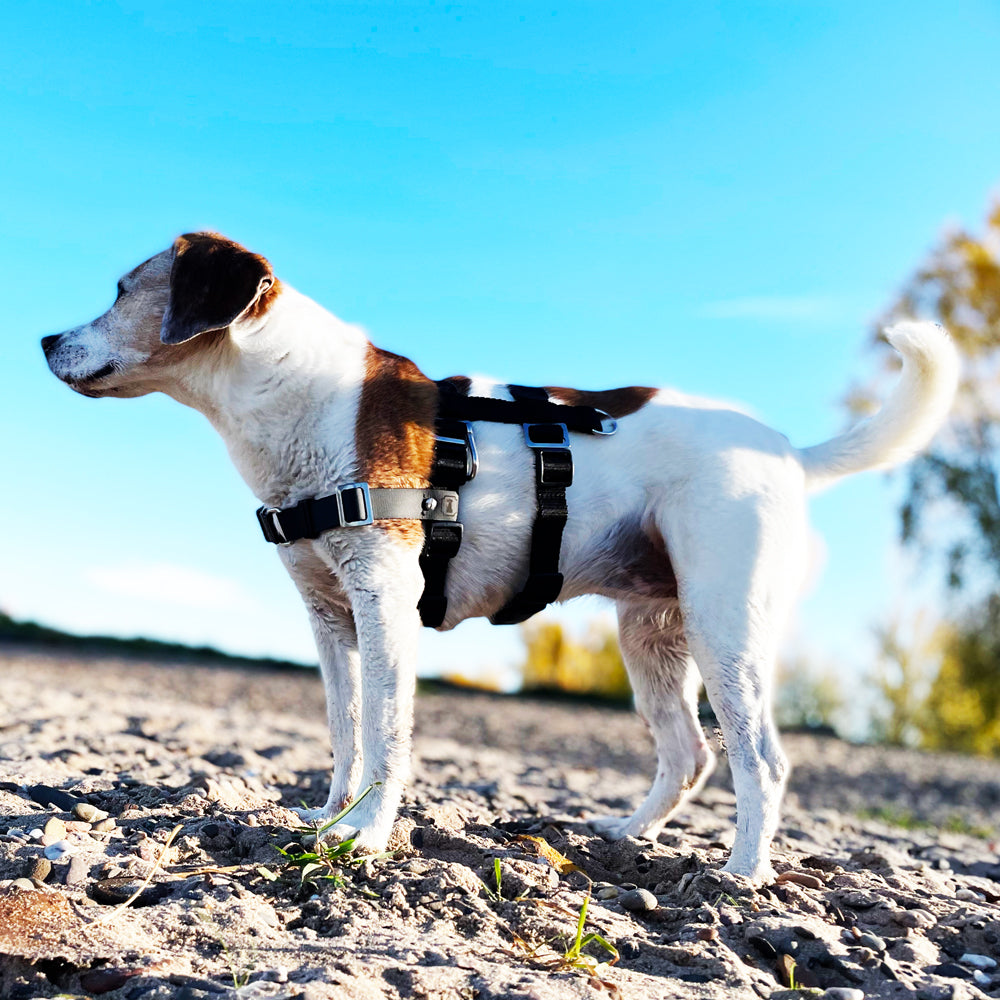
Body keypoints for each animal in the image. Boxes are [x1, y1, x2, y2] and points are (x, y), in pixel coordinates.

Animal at [43, 230, 956, 880]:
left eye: (121, 290)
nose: (47, 338)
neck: (293, 392)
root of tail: (790, 453)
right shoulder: (329, 619)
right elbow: (342, 732)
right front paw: (329, 816)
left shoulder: (384, 604)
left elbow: (384, 733)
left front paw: (365, 837)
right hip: (651, 636)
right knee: (689, 754)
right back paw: (628, 836)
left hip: (727, 626)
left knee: (760, 759)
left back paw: (743, 873)